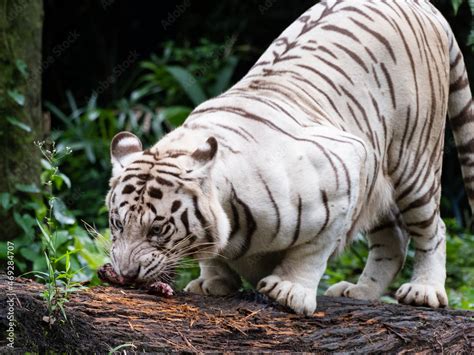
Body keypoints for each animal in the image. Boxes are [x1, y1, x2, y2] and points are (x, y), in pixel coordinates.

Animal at [105, 0, 472, 318]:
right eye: (118, 223)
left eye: (157, 229)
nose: (126, 274)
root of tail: (425, 5)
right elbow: (211, 256)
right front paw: (212, 282)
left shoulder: (347, 168)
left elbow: (312, 249)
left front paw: (289, 289)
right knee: (393, 237)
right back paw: (361, 292)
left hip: (414, 162)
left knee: (433, 227)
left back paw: (424, 291)